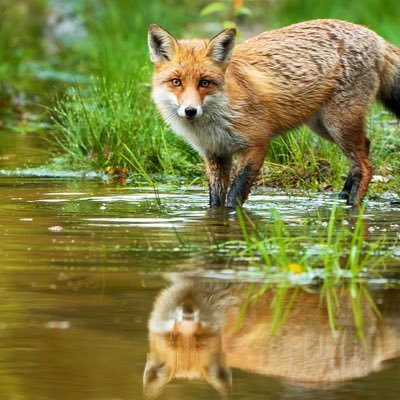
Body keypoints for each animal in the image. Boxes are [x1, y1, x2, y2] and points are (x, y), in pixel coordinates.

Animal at [148, 19, 400, 206]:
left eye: (204, 83)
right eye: (176, 82)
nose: (190, 111)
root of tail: (373, 35)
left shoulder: (257, 143)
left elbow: (235, 195)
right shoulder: (215, 154)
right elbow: (215, 201)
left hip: (339, 125)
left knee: (365, 166)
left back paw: (353, 206)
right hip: (324, 127)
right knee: (364, 151)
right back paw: (343, 197)